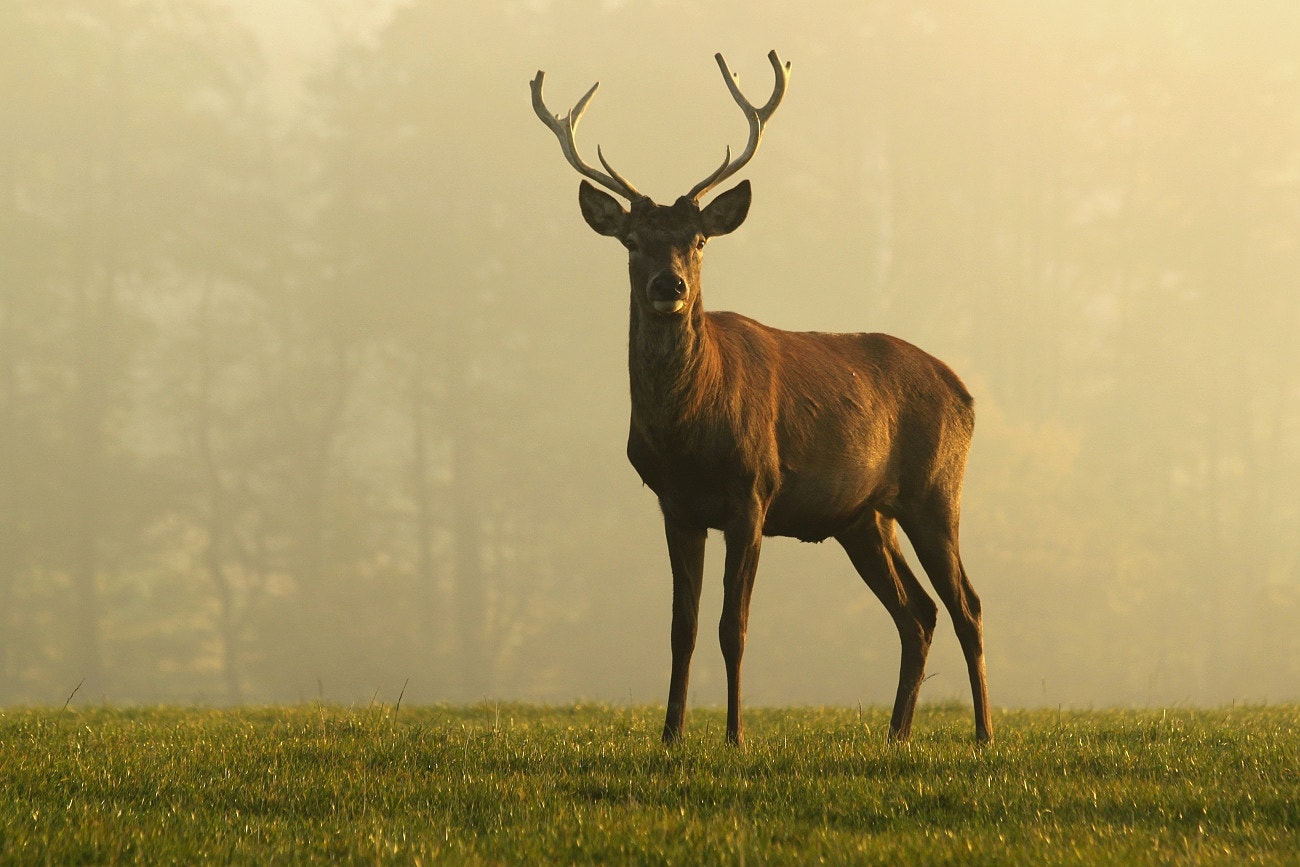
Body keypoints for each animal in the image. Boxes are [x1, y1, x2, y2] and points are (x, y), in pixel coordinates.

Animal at [533, 51, 987, 748]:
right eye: (632, 241)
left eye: (697, 240)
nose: (670, 287)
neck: (687, 436)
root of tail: (964, 392)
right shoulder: (675, 505)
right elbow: (683, 628)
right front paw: (670, 737)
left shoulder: (754, 492)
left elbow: (734, 627)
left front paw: (736, 736)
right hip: (863, 516)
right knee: (919, 611)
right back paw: (896, 734)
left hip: (935, 489)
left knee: (968, 604)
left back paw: (984, 735)